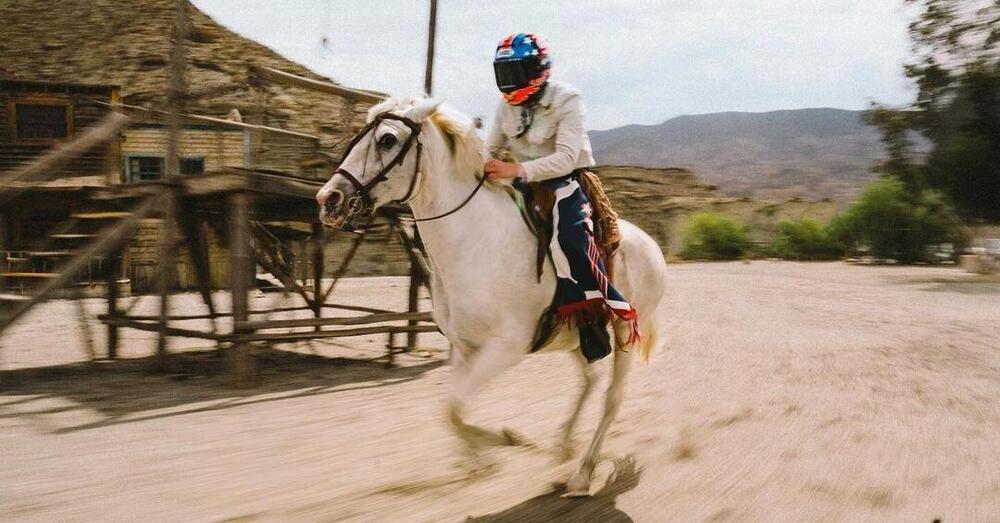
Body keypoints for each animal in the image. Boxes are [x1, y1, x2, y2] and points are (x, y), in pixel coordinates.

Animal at [316, 97, 668, 496]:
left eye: (387, 139)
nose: (329, 199)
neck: (474, 242)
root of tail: (651, 246)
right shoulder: (463, 347)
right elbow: (452, 408)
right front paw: (480, 458)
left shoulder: (506, 347)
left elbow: (454, 407)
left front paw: (506, 441)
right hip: (579, 337)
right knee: (589, 381)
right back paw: (562, 445)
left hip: (624, 332)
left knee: (612, 398)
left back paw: (581, 473)